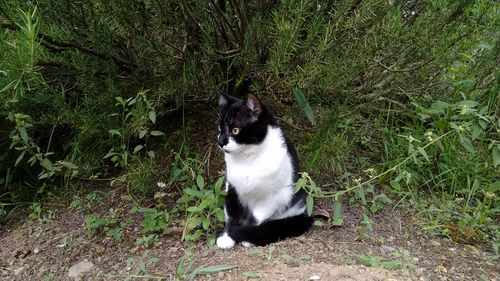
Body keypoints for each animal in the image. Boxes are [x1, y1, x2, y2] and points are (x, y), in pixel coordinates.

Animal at [216, 93, 312, 248]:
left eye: (235, 130)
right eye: (220, 128)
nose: (220, 142)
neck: (247, 158)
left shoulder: (272, 197)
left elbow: (255, 218)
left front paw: (246, 238)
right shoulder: (232, 188)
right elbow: (231, 214)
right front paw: (228, 237)